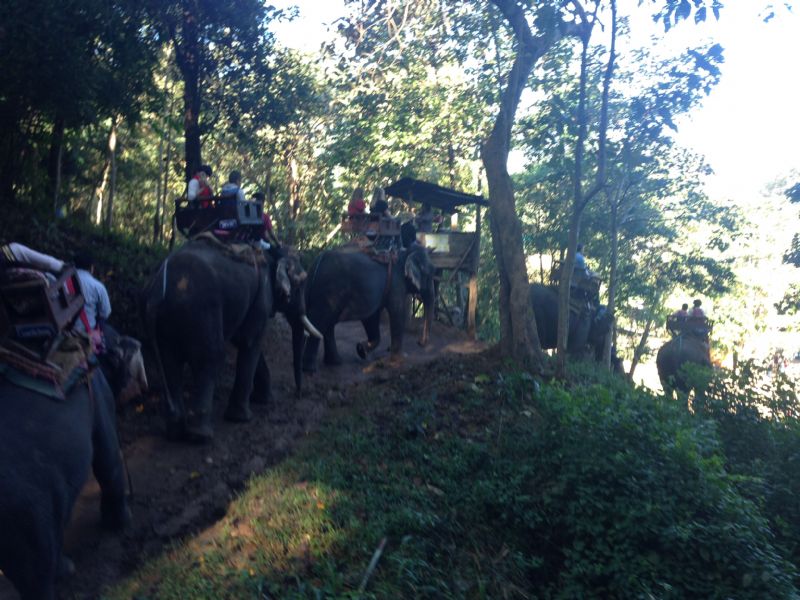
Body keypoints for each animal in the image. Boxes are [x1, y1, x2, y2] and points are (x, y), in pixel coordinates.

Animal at [0, 342, 146, 600]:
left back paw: (65, 569)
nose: (138, 344)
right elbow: (108, 458)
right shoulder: (98, 393)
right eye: (120, 347)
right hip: (23, 511)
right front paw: (121, 522)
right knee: (35, 574)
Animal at [142, 239, 320, 443]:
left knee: (169, 364)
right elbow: (250, 341)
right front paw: (242, 418)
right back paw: (200, 436)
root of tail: (158, 290)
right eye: (300, 283)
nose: (299, 395)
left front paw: (265, 400)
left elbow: (245, 340)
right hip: (201, 310)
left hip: (162, 325)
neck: (273, 252)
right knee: (210, 358)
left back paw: (175, 431)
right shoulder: (262, 296)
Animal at [302, 243, 435, 371]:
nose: (420, 342)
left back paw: (335, 362)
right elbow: (396, 313)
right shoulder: (396, 284)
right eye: (429, 274)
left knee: (327, 324)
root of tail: (318, 260)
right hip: (328, 293)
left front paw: (361, 350)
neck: (404, 253)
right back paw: (310, 369)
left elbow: (371, 318)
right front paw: (399, 360)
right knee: (319, 323)